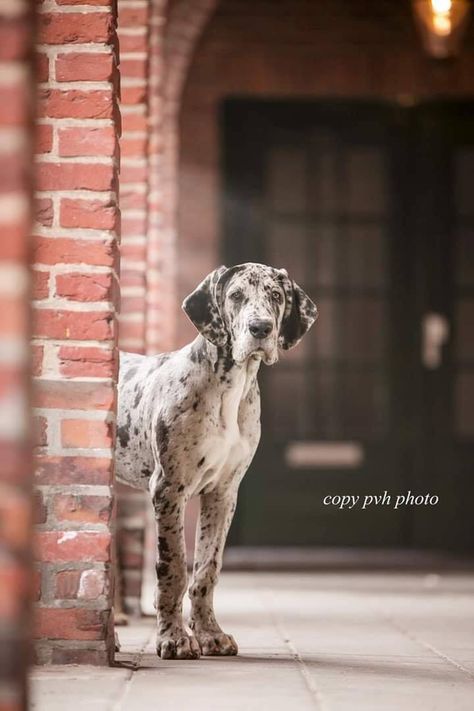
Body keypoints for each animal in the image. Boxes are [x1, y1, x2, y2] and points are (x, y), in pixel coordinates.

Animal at [115, 262, 316, 660]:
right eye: (235, 295)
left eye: (276, 295)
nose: (260, 329)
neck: (230, 389)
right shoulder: (169, 490)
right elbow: (174, 567)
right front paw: (174, 638)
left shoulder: (223, 493)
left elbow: (207, 567)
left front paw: (209, 633)